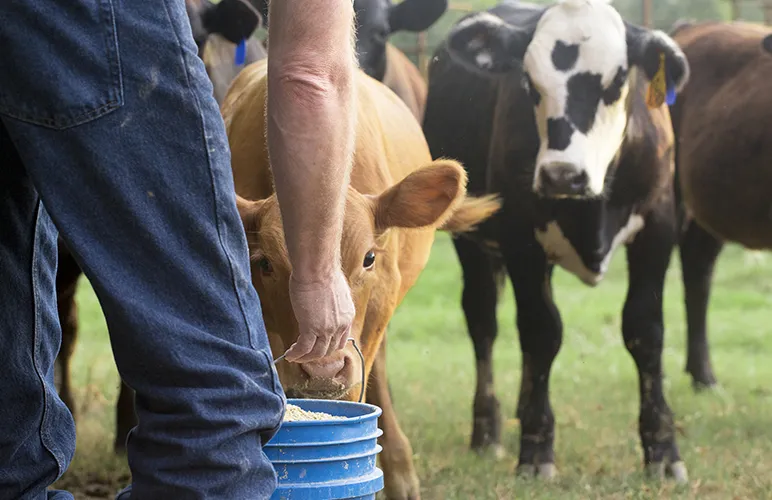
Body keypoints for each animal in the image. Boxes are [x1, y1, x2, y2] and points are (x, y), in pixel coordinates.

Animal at [422, 0, 690, 480]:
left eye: (617, 81)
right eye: (529, 81)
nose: (562, 174)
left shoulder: (658, 228)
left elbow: (645, 331)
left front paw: (662, 450)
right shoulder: (520, 238)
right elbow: (541, 332)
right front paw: (535, 449)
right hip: (471, 240)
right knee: (484, 322)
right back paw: (488, 430)